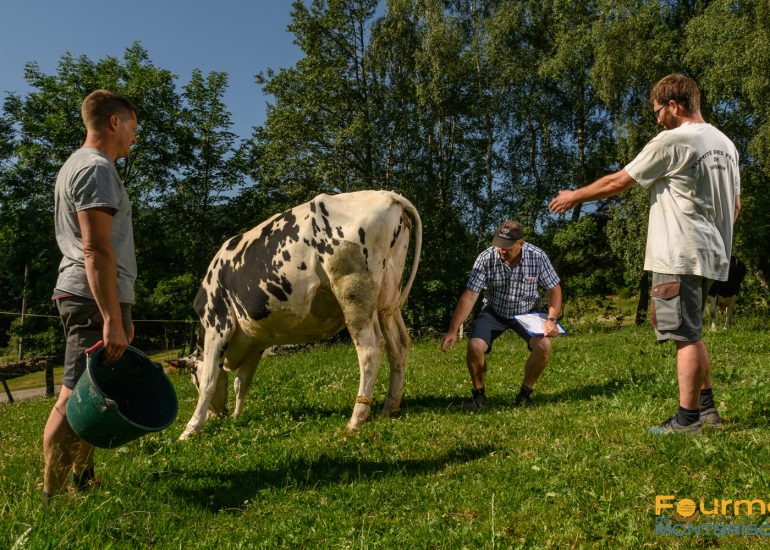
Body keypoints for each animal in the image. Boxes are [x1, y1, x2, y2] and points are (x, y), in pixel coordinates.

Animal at [178, 192, 420, 442]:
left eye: (193, 379)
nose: (218, 415)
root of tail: (388, 195)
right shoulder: (255, 342)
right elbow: (241, 382)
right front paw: (237, 416)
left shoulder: (218, 324)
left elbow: (210, 379)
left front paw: (190, 429)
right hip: (387, 298)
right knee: (399, 345)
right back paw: (389, 408)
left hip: (354, 291)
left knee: (370, 347)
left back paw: (357, 419)